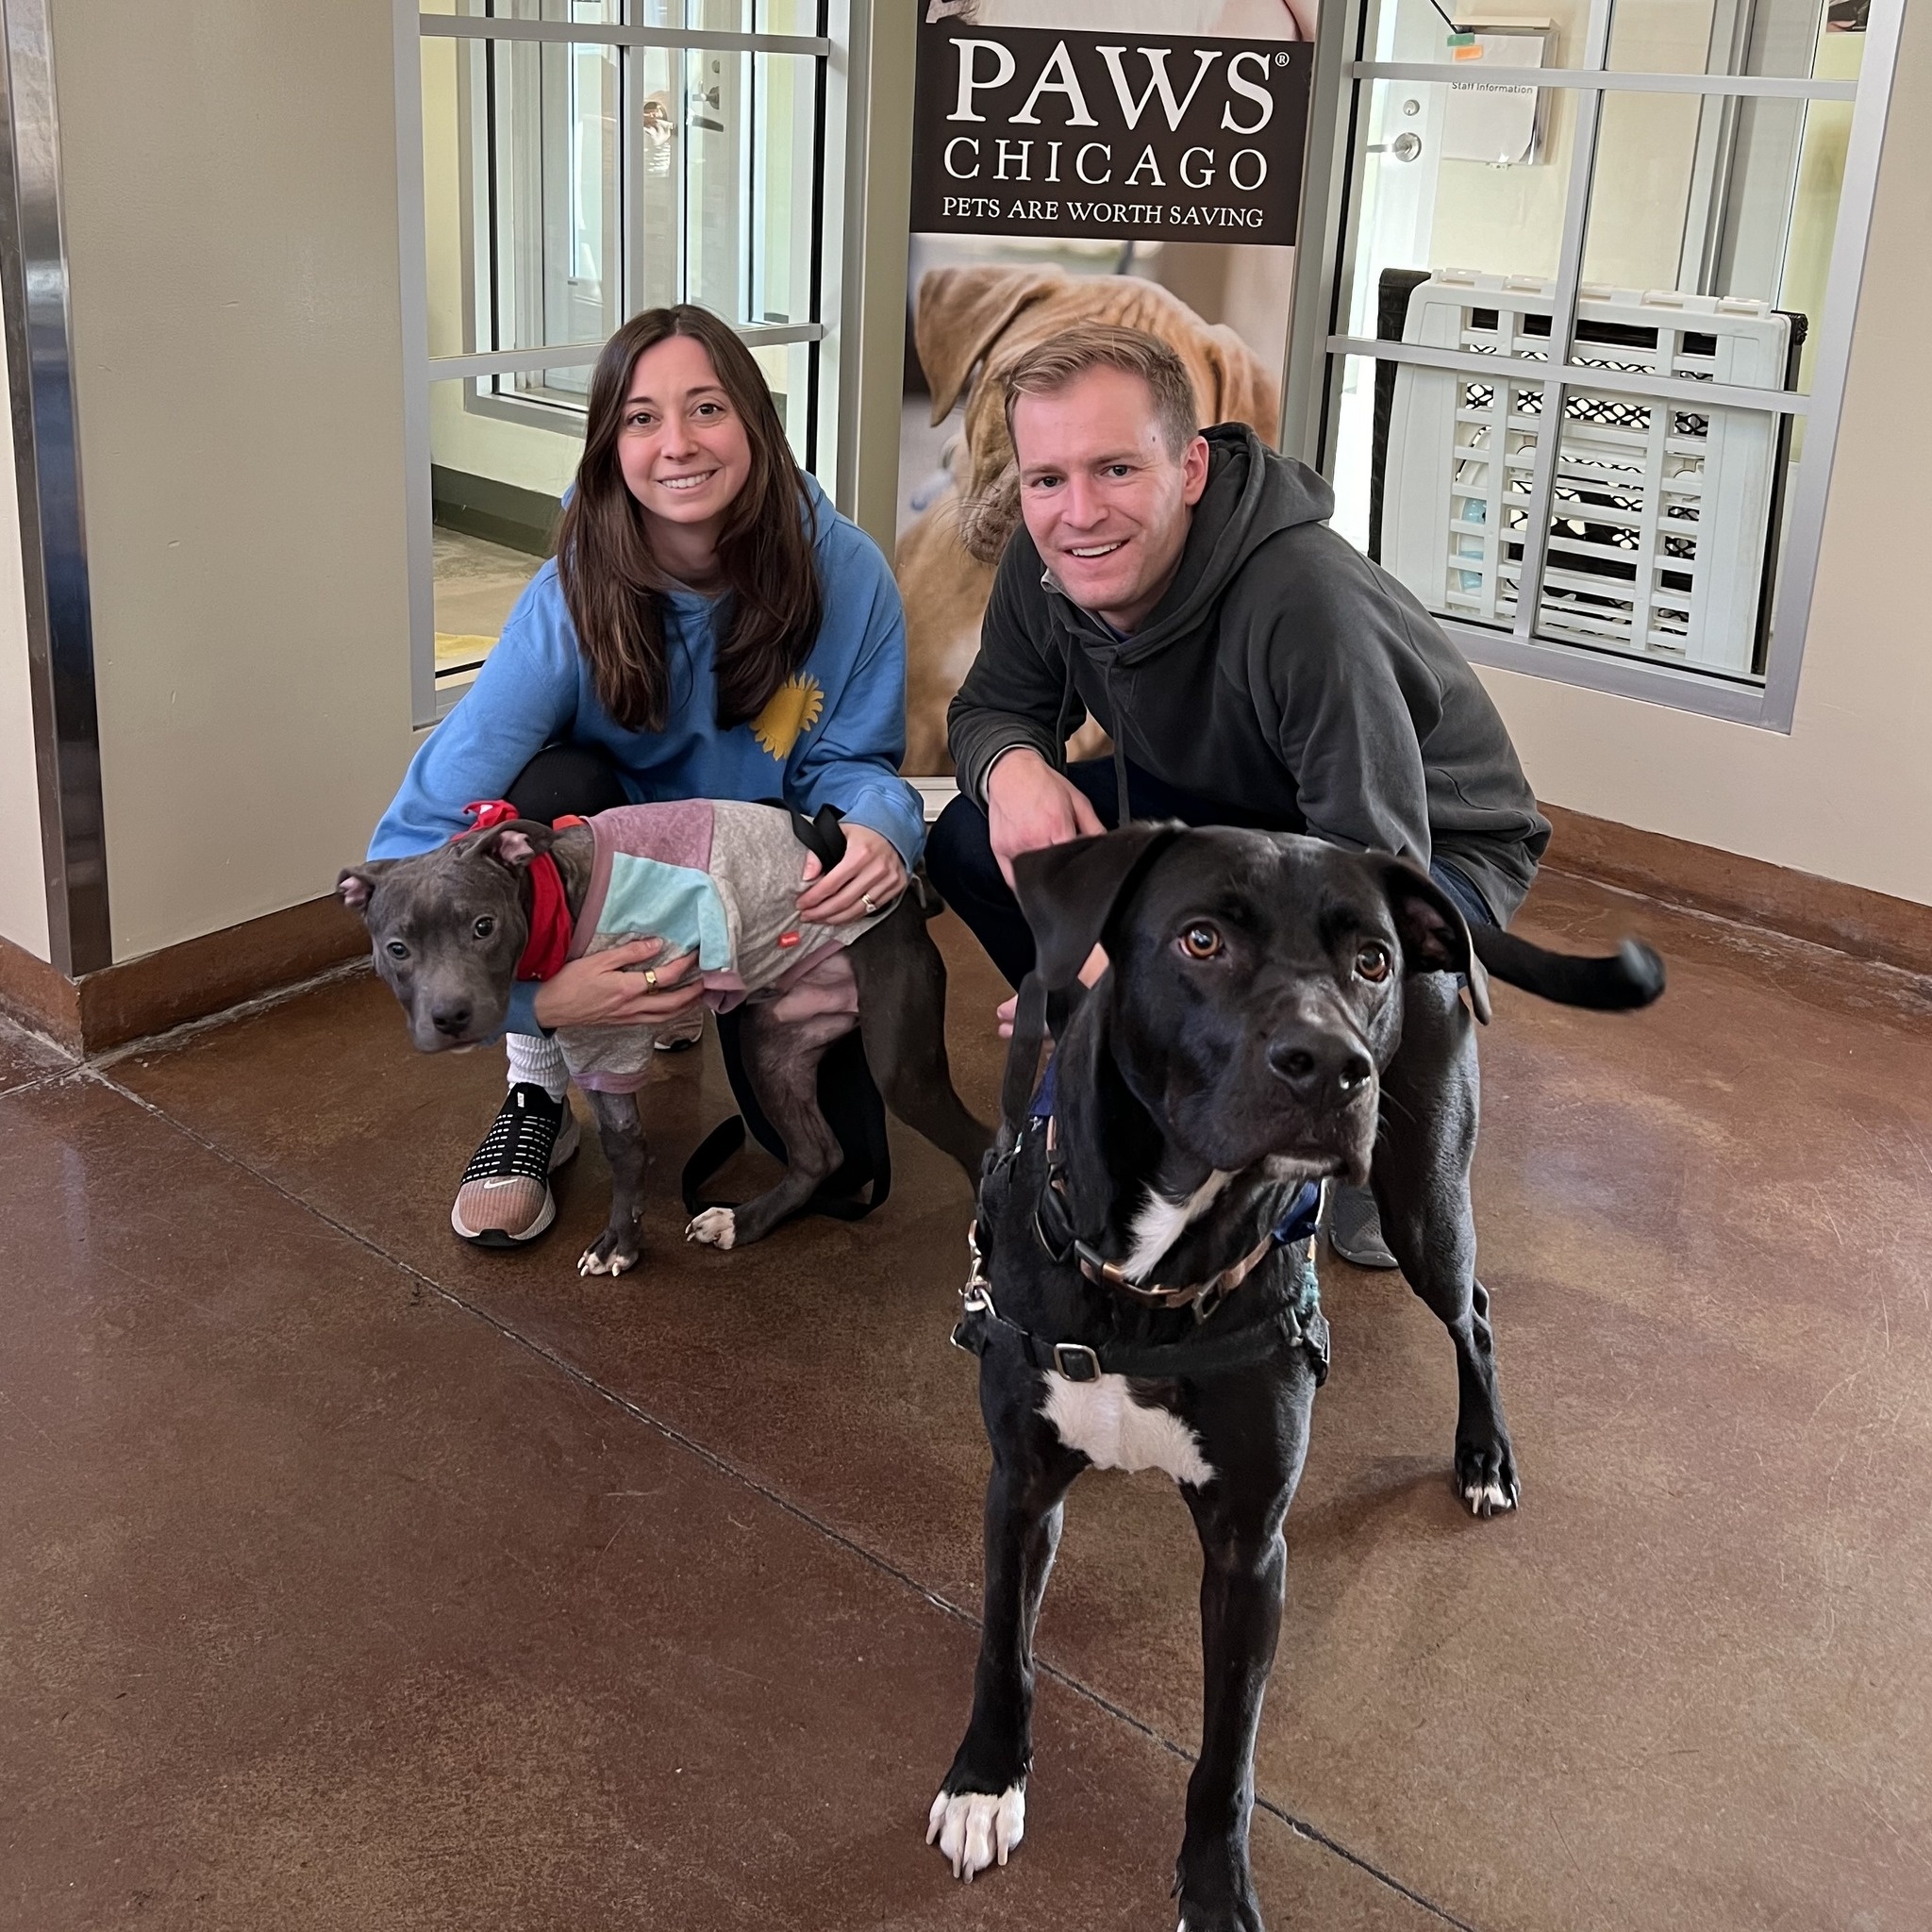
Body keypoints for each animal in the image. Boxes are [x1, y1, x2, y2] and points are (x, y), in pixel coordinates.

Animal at [338, 803, 989, 1282]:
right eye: (398, 949)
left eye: (482, 926)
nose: (450, 1015)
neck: (553, 898)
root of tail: (908, 901)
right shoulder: (594, 1044)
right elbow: (622, 1145)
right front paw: (625, 1238)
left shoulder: (613, 1036)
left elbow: (627, 1151)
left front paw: (619, 1243)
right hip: (771, 1043)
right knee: (818, 1155)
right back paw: (741, 1222)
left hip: (901, 1070)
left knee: (979, 1143)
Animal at [927, 823, 1654, 1924]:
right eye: (1200, 939)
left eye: (1370, 963)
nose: (1332, 1068)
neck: (1154, 1278)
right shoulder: (1020, 1484)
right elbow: (1001, 1645)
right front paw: (984, 1779)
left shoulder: (1246, 1550)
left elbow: (1227, 1749)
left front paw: (1215, 1884)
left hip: (1425, 1202)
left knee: (1475, 1312)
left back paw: (1483, 1452)